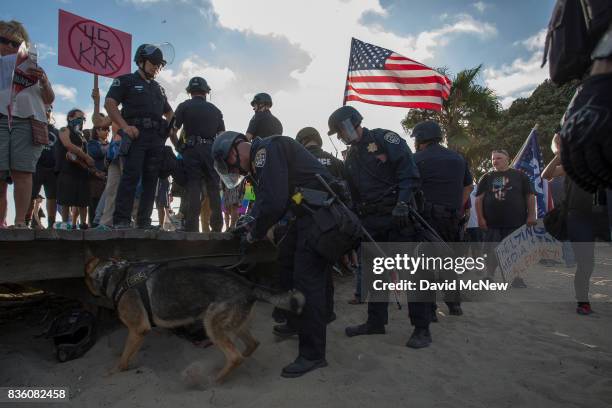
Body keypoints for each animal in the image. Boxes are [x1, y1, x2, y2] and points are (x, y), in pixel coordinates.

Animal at [85, 256, 304, 384]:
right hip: (234, 325)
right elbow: (127, 354)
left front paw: (114, 371)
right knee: (252, 344)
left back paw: (215, 379)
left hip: (212, 324)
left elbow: (123, 358)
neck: (111, 274)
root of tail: (248, 285)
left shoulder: (138, 329)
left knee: (235, 357)